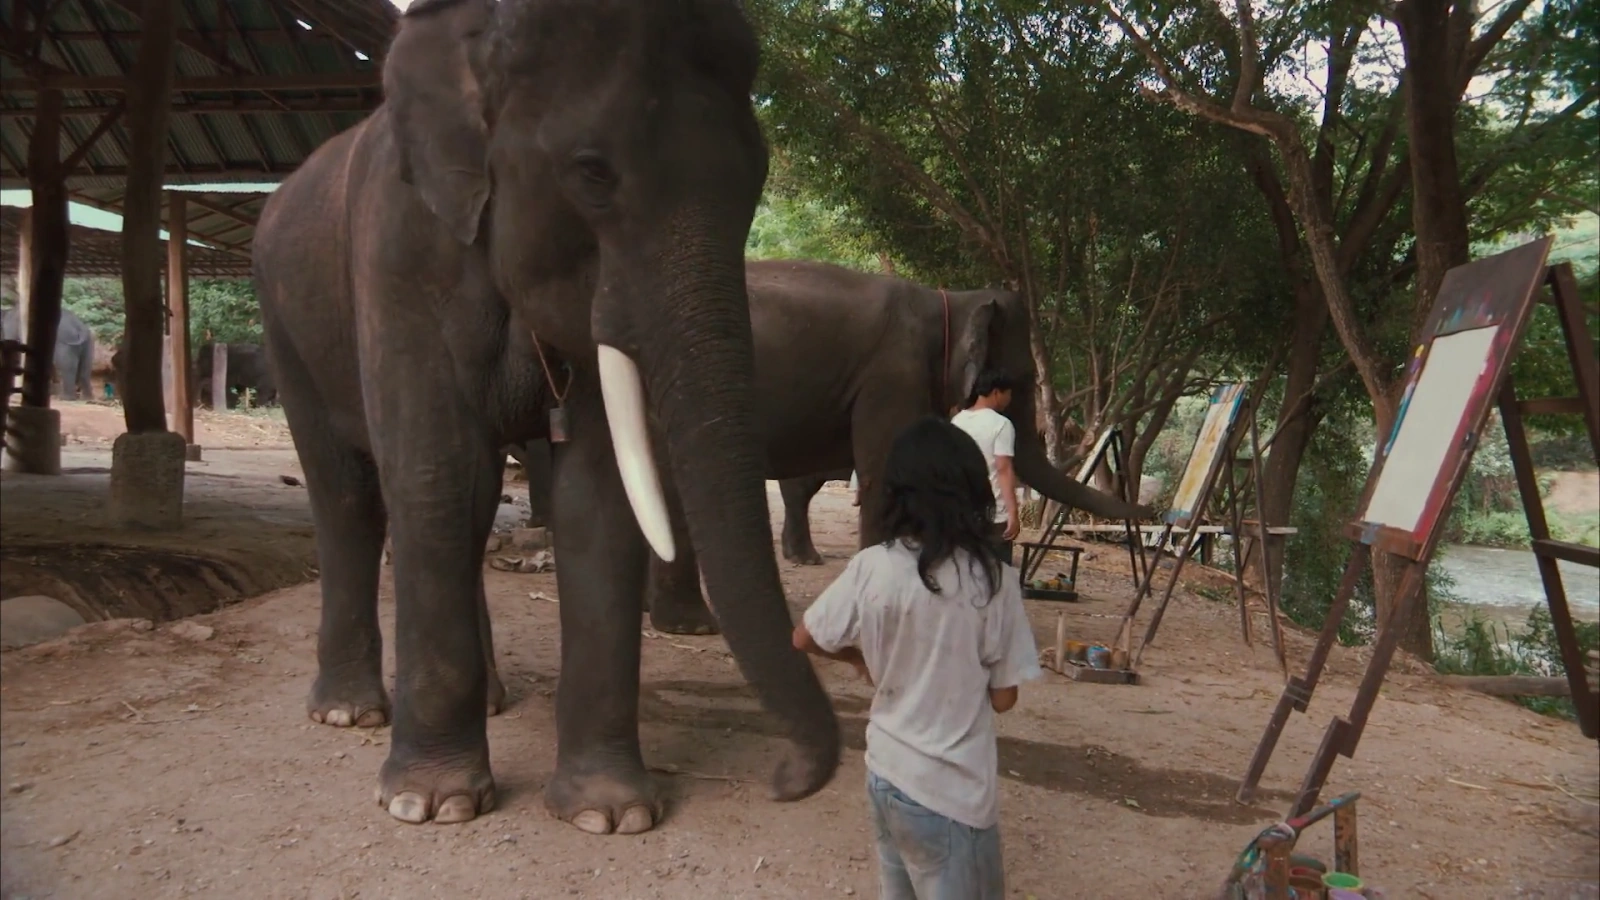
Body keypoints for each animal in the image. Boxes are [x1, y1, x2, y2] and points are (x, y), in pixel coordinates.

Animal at [249, 0, 839, 833]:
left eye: (757, 177)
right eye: (593, 172)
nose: (786, 778)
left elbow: (595, 493)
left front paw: (609, 814)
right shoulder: (396, 250)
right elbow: (435, 470)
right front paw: (432, 804)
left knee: (469, 511)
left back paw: (492, 701)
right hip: (284, 323)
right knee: (351, 497)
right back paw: (347, 713)